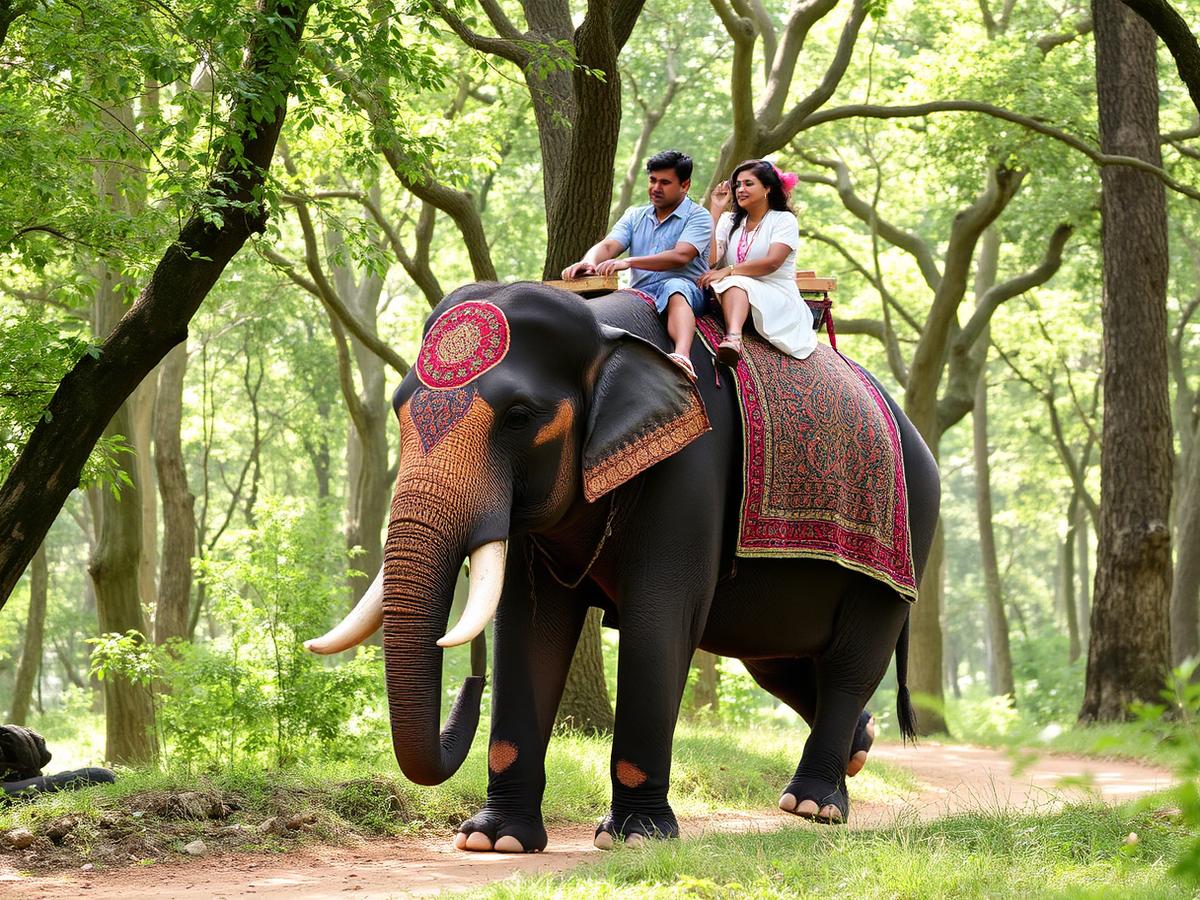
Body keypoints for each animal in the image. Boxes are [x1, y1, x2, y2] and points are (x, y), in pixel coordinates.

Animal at [307, 281, 940, 853]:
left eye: (518, 417)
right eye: (398, 408)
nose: (469, 680)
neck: (602, 328)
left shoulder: (691, 465)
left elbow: (659, 622)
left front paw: (637, 837)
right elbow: (527, 625)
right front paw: (493, 839)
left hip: (906, 536)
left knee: (851, 661)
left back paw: (811, 804)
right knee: (776, 663)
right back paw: (853, 759)